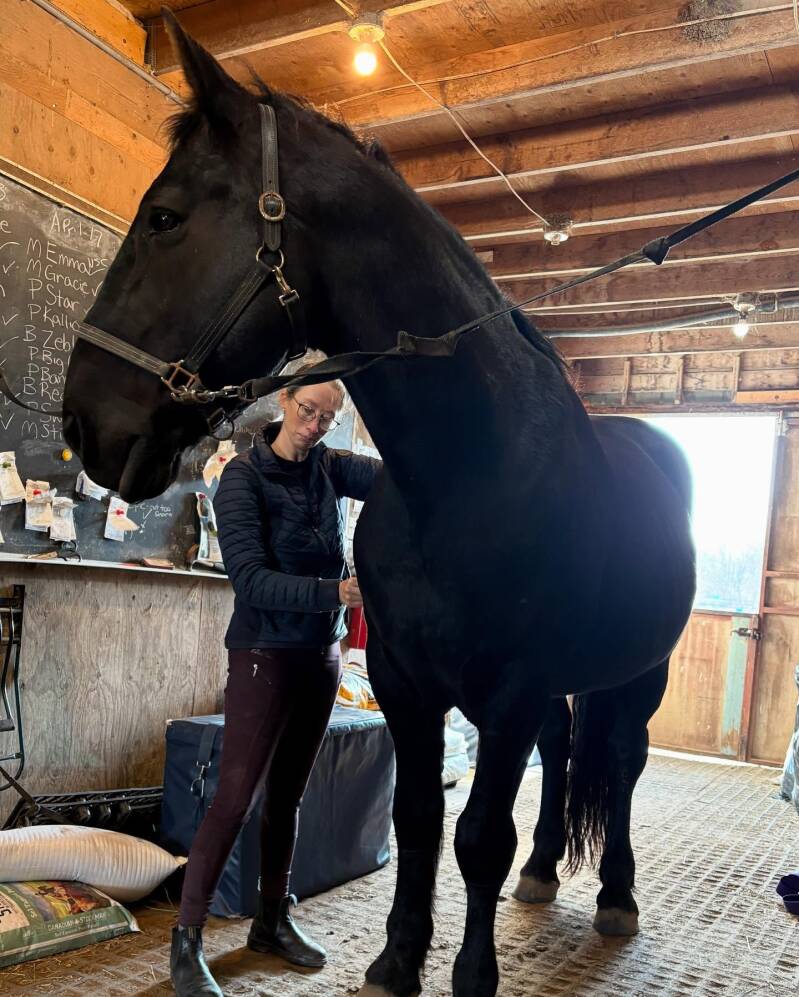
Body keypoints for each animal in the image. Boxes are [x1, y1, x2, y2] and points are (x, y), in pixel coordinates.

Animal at [62, 13, 695, 996]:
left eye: (164, 217)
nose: (80, 418)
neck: (469, 477)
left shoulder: (508, 692)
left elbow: (477, 836)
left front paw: (470, 972)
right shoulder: (407, 682)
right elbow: (417, 818)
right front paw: (399, 957)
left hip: (638, 674)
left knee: (620, 764)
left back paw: (614, 894)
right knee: (562, 756)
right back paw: (545, 871)